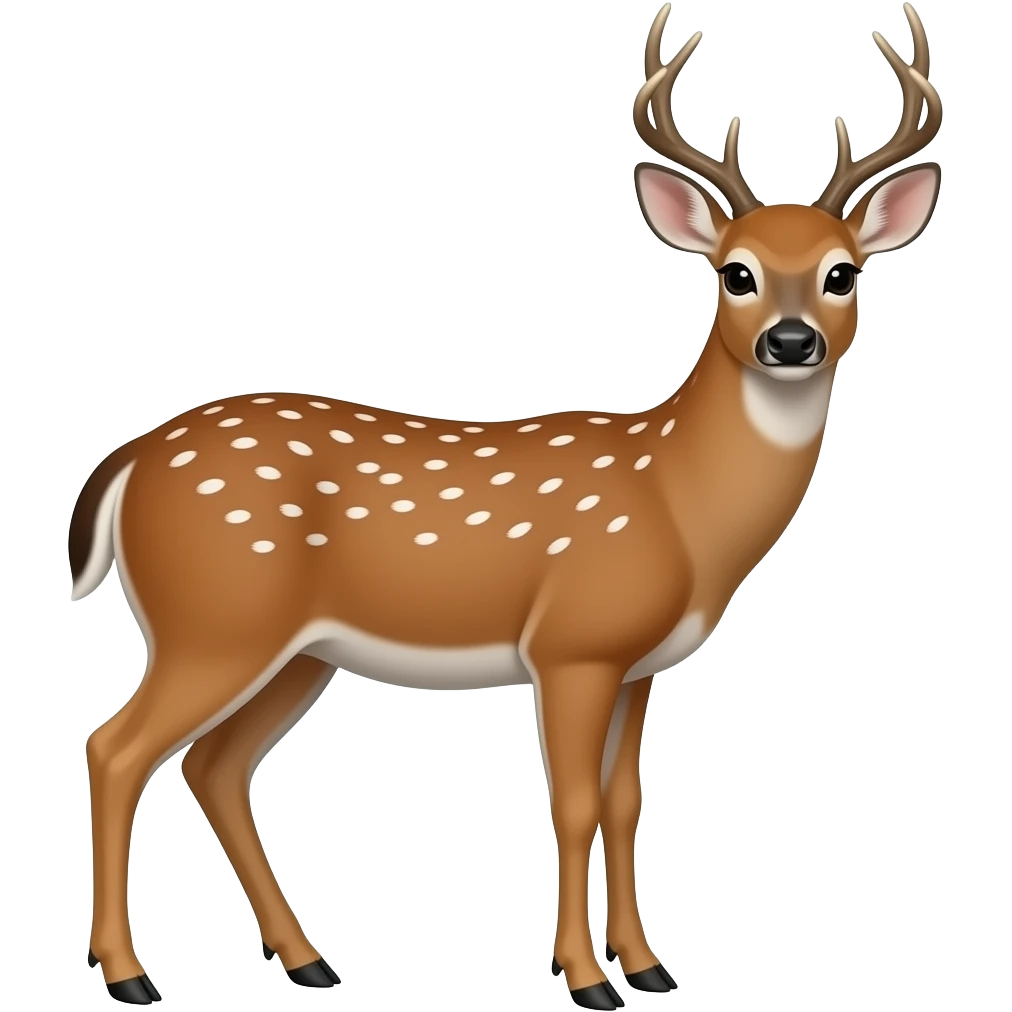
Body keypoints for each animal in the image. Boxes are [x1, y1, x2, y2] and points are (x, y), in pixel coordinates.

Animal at [70, 4, 941, 1007]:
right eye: (736, 273)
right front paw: (587, 978)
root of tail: (128, 461)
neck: (679, 503)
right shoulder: (571, 643)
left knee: (214, 767)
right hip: (214, 618)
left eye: (843, 273)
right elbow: (572, 803)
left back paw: (309, 960)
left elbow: (626, 802)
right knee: (117, 748)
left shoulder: (639, 664)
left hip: (294, 650)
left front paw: (649, 967)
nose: (790, 342)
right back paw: (131, 976)